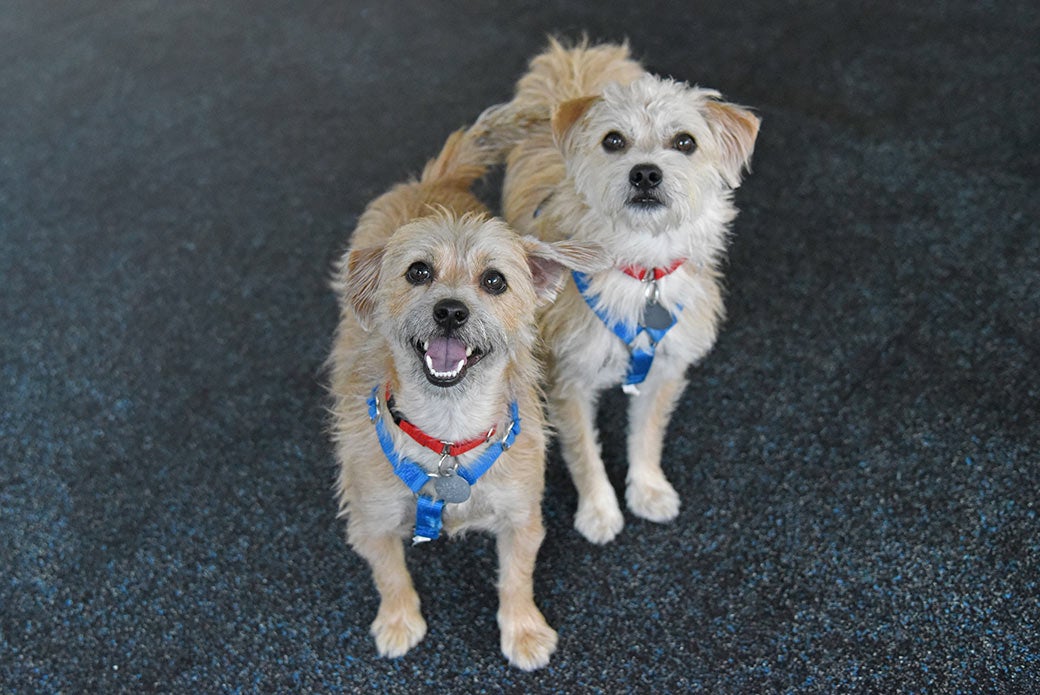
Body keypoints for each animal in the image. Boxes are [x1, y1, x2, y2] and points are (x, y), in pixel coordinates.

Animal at [328, 115, 608, 669]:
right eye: (418, 272)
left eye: (494, 281)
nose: (451, 311)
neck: (448, 435)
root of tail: (432, 182)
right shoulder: (371, 519)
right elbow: (390, 575)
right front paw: (399, 622)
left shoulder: (522, 515)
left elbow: (517, 578)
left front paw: (523, 630)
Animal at [495, 39, 761, 544]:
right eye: (613, 141)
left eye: (685, 142)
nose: (646, 174)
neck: (640, 266)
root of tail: (578, 53)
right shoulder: (569, 376)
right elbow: (584, 451)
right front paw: (599, 510)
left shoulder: (665, 368)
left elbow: (647, 435)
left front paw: (648, 489)